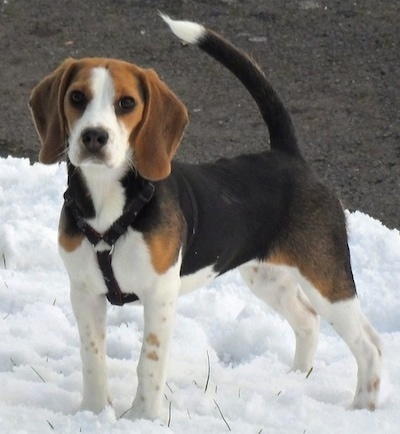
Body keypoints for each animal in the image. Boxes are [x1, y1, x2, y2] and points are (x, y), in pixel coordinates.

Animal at [28, 17, 382, 420]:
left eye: (126, 103)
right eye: (76, 97)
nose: (94, 137)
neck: (110, 203)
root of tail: (288, 156)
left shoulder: (160, 294)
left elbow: (149, 362)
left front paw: (142, 418)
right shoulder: (85, 292)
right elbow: (92, 357)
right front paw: (92, 412)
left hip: (325, 277)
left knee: (370, 345)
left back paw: (363, 408)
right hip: (267, 276)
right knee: (308, 319)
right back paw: (296, 379)